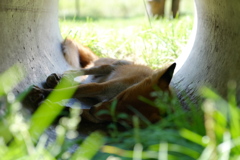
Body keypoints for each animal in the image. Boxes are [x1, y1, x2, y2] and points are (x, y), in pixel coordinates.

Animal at [30, 38, 176, 126]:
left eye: (122, 119)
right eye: (122, 97)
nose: (93, 108)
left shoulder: (98, 116)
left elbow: (75, 112)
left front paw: (49, 108)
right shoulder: (102, 87)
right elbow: (68, 92)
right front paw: (44, 92)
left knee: (79, 82)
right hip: (114, 66)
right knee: (86, 70)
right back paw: (62, 76)